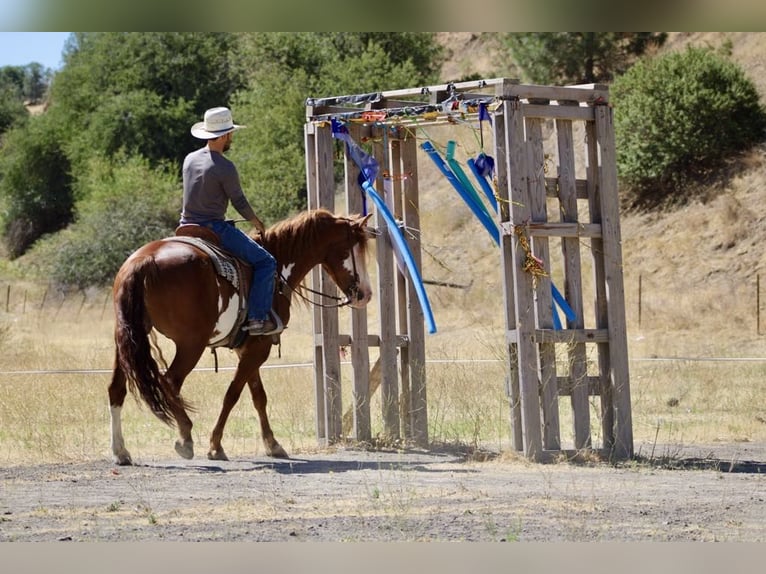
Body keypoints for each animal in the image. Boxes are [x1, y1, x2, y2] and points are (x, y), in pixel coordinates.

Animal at [108, 209, 373, 465]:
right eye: (352, 249)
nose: (366, 295)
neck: (277, 269)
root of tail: (145, 261)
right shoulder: (260, 347)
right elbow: (233, 394)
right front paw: (215, 446)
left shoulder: (248, 347)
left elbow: (258, 396)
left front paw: (272, 444)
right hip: (191, 344)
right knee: (169, 382)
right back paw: (185, 437)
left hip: (127, 338)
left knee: (117, 389)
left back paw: (121, 451)